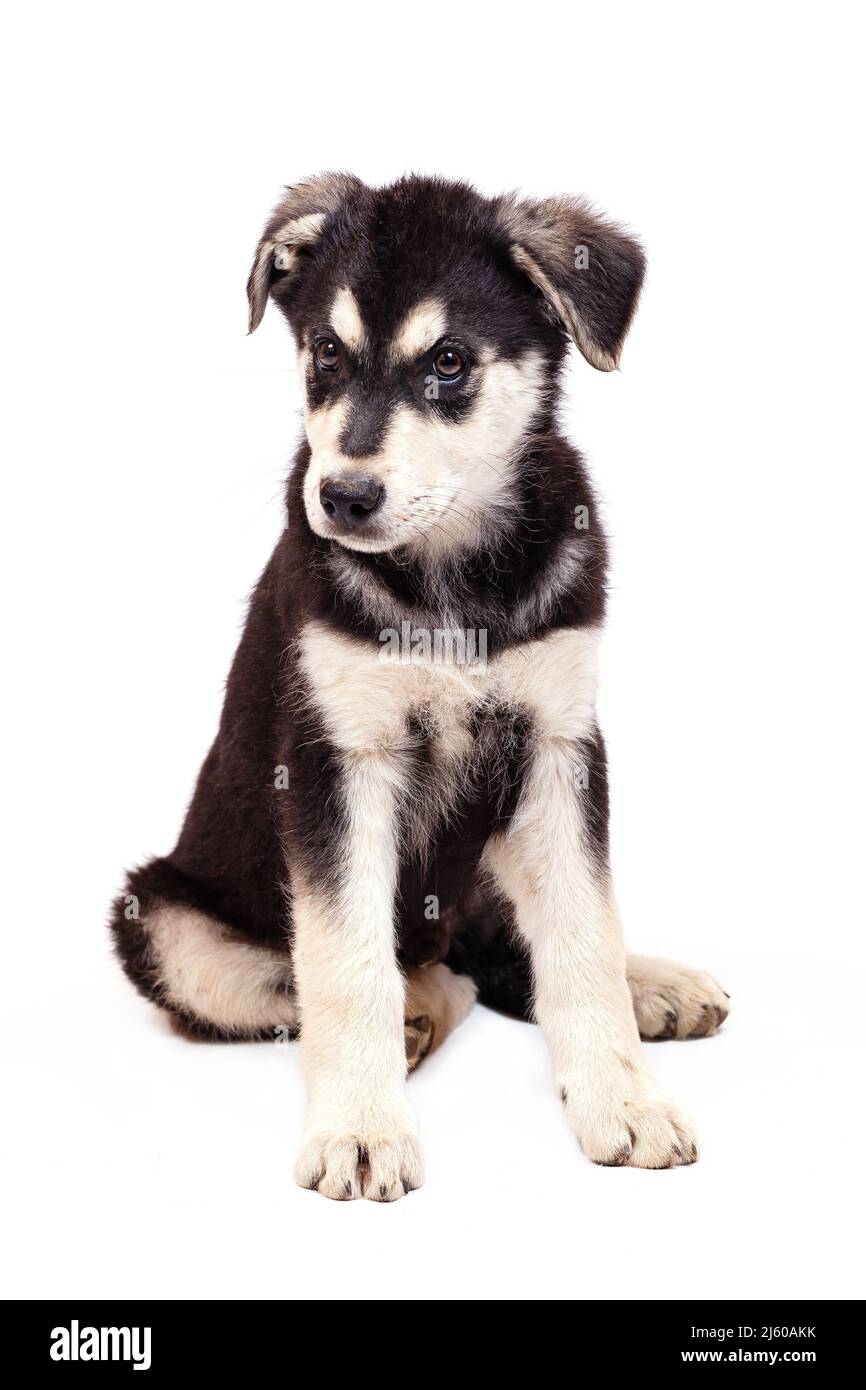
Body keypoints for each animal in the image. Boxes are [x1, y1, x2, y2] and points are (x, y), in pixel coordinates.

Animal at [111, 170, 728, 1195]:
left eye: (448, 361)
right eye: (326, 351)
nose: (343, 498)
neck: (451, 575)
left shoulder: (562, 745)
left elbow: (584, 933)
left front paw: (624, 1099)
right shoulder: (335, 762)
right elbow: (344, 961)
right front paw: (360, 1129)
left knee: (501, 951)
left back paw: (652, 986)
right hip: (154, 916)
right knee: (400, 974)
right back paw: (414, 1017)